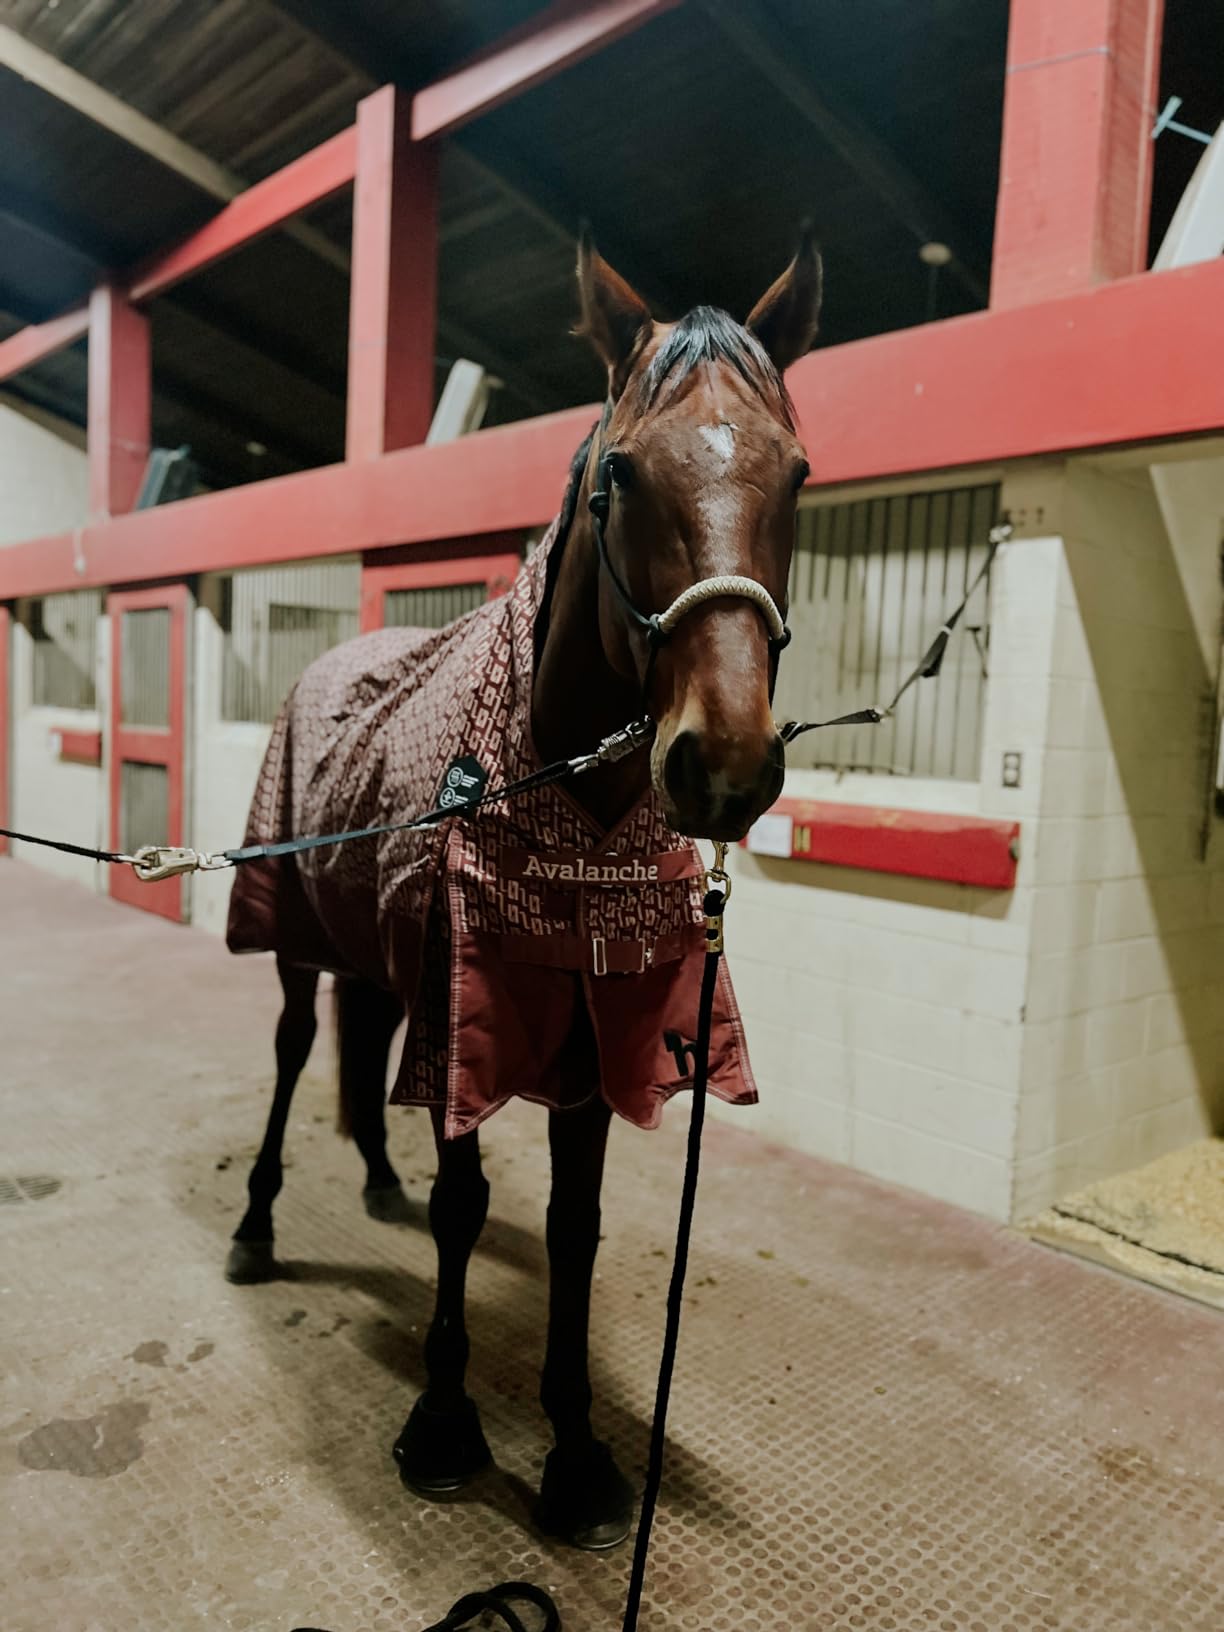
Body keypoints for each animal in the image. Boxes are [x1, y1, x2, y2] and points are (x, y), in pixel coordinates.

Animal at [222, 227, 821, 1551]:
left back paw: (373, 1178)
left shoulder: (599, 1024)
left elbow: (572, 1229)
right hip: (287, 941)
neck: (565, 805)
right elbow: (465, 1203)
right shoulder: (472, 1011)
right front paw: (445, 1425)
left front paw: (580, 1456)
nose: (726, 764)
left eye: (799, 474)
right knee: (292, 1053)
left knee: (360, 1040)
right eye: (623, 475)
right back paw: (257, 1225)